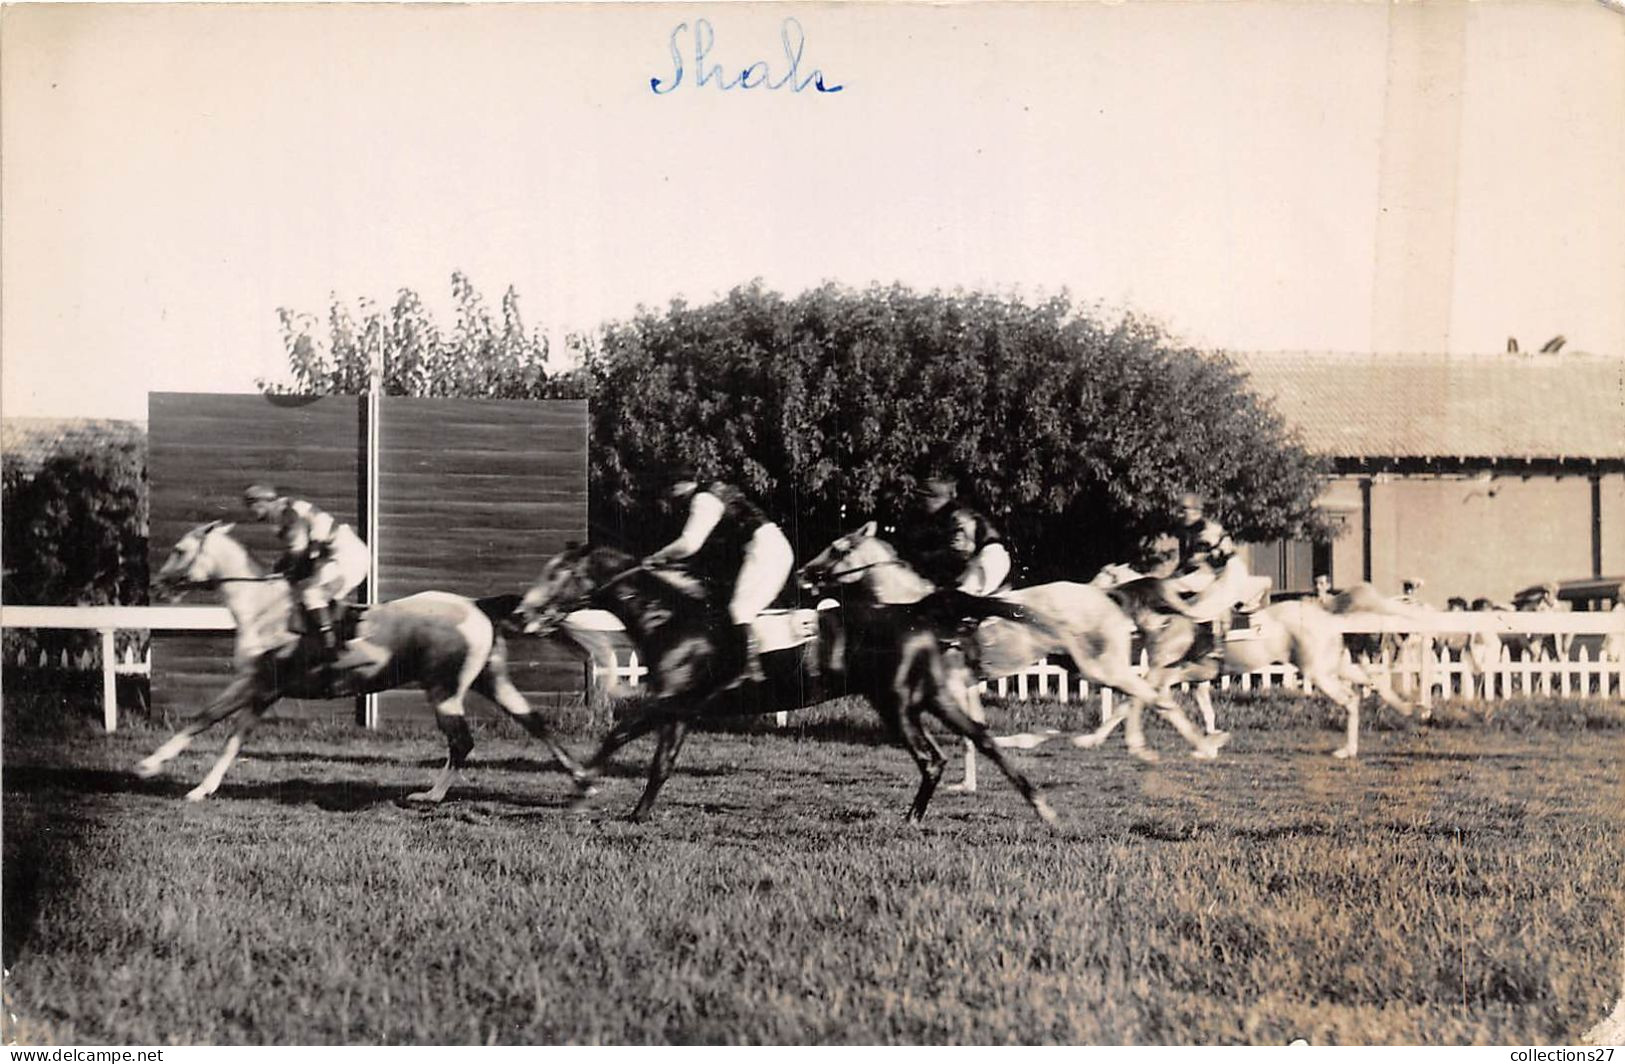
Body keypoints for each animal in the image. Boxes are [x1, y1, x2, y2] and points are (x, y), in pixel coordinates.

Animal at [136, 519, 585, 802]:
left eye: (179, 549)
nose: (157, 586)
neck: (263, 610)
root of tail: (477, 604)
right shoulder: (264, 693)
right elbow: (232, 742)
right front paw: (202, 789)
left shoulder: (253, 683)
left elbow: (202, 719)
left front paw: (148, 765)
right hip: (491, 681)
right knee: (535, 722)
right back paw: (581, 779)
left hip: (444, 690)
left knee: (462, 742)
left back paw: (431, 795)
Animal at [513, 545, 1059, 828]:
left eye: (559, 574)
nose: (523, 612)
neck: (674, 618)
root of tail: (915, 610)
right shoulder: (682, 710)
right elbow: (660, 764)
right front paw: (637, 813)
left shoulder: (674, 699)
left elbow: (620, 731)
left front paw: (582, 787)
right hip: (935, 694)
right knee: (983, 740)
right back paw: (1041, 807)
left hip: (897, 701)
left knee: (933, 758)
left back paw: (912, 817)